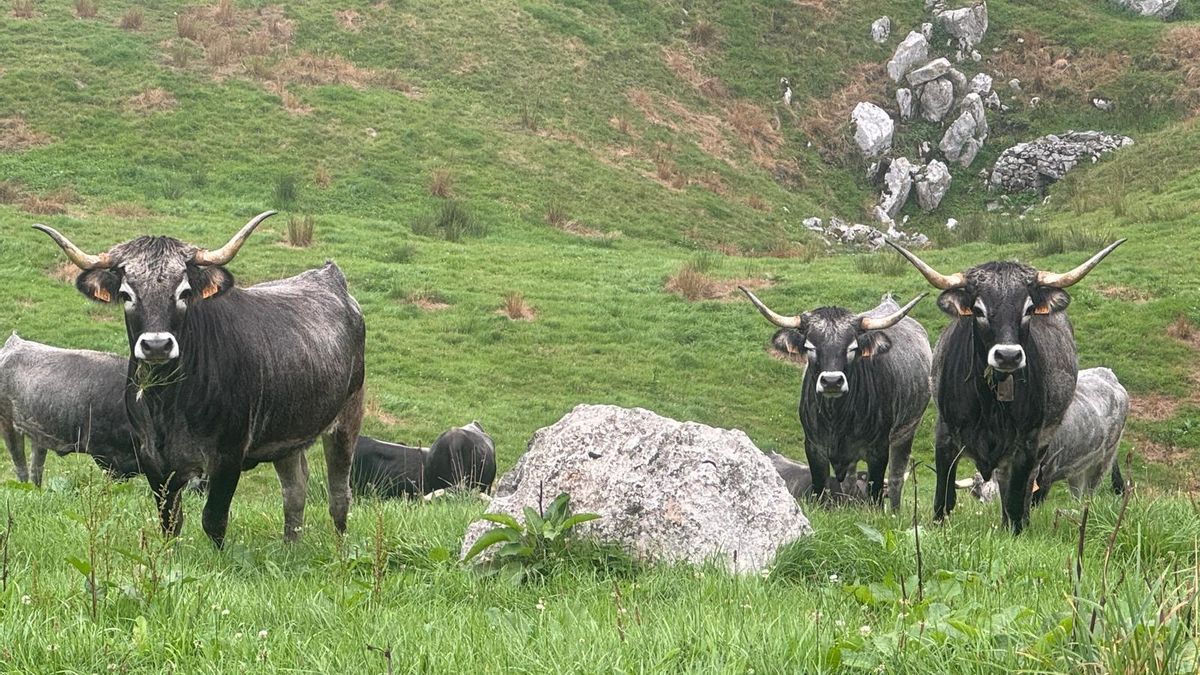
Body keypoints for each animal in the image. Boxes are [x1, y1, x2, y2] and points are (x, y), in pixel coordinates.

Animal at [0, 334, 140, 486]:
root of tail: (13, 342)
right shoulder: (105, 454)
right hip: (7, 423)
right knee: (21, 468)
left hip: (38, 432)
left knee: (36, 469)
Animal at [34, 212, 366, 547]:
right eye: (127, 295)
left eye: (184, 293)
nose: (156, 345)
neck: (168, 403)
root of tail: (329, 276)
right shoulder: (152, 459)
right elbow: (170, 522)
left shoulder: (228, 457)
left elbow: (214, 520)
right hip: (287, 434)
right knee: (295, 490)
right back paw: (289, 548)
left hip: (347, 418)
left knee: (339, 494)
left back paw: (339, 547)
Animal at [741, 289, 932, 511]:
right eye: (810, 347)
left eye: (852, 348)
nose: (832, 381)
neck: (837, 418)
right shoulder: (814, 447)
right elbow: (821, 491)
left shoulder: (879, 450)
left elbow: (875, 494)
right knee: (850, 482)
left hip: (906, 432)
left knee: (895, 478)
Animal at [888, 239, 1124, 533]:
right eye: (978, 310)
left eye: (1029, 309)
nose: (1008, 356)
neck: (990, 402)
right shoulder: (945, 435)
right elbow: (944, 497)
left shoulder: (1027, 443)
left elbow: (1015, 499)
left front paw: (1015, 531)